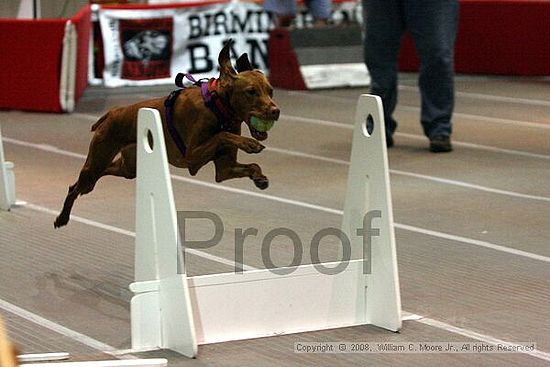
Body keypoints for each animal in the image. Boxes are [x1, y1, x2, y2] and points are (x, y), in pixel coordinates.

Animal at [54, 41, 280, 229]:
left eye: (270, 91)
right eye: (251, 91)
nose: (275, 111)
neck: (218, 106)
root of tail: (112, 112)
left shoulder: (225, 169)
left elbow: (250, 164)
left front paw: (259, 177)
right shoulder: (192, 157)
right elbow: (222, 135)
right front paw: (249, 144)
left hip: (127, 168)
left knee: (99, 175)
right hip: (95, 164)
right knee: (75, 188)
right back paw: (61, 218)